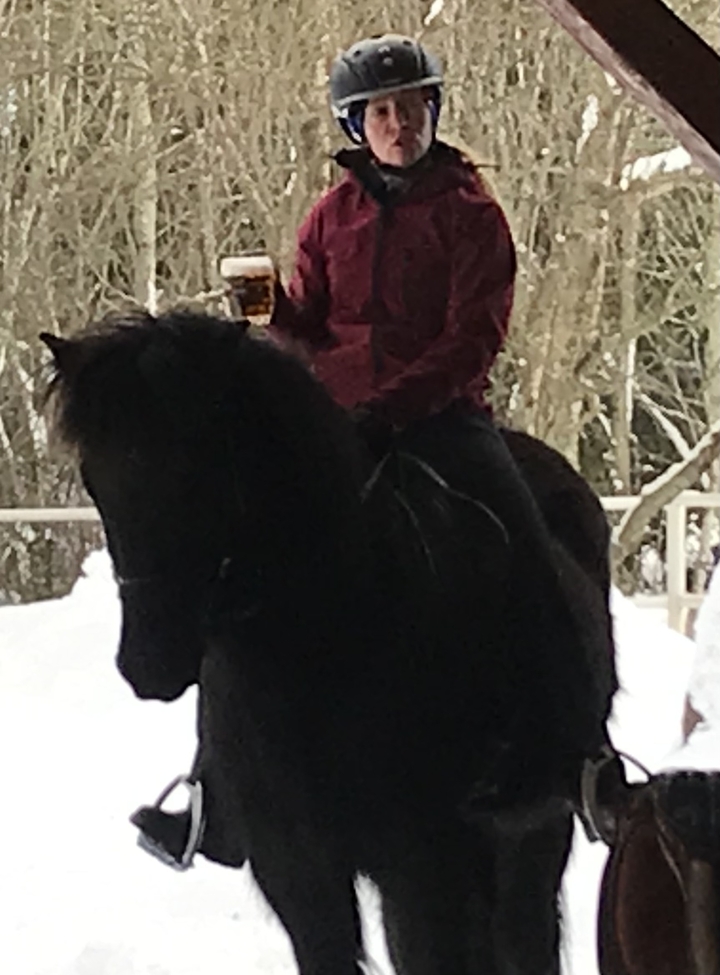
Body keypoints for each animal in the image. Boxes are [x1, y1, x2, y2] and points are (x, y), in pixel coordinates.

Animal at [43, 309, 617, 975]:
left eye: (195, 471)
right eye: (97, 480)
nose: (147, 663)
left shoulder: (423, 867)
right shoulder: (296, 871)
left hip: (532, 836)